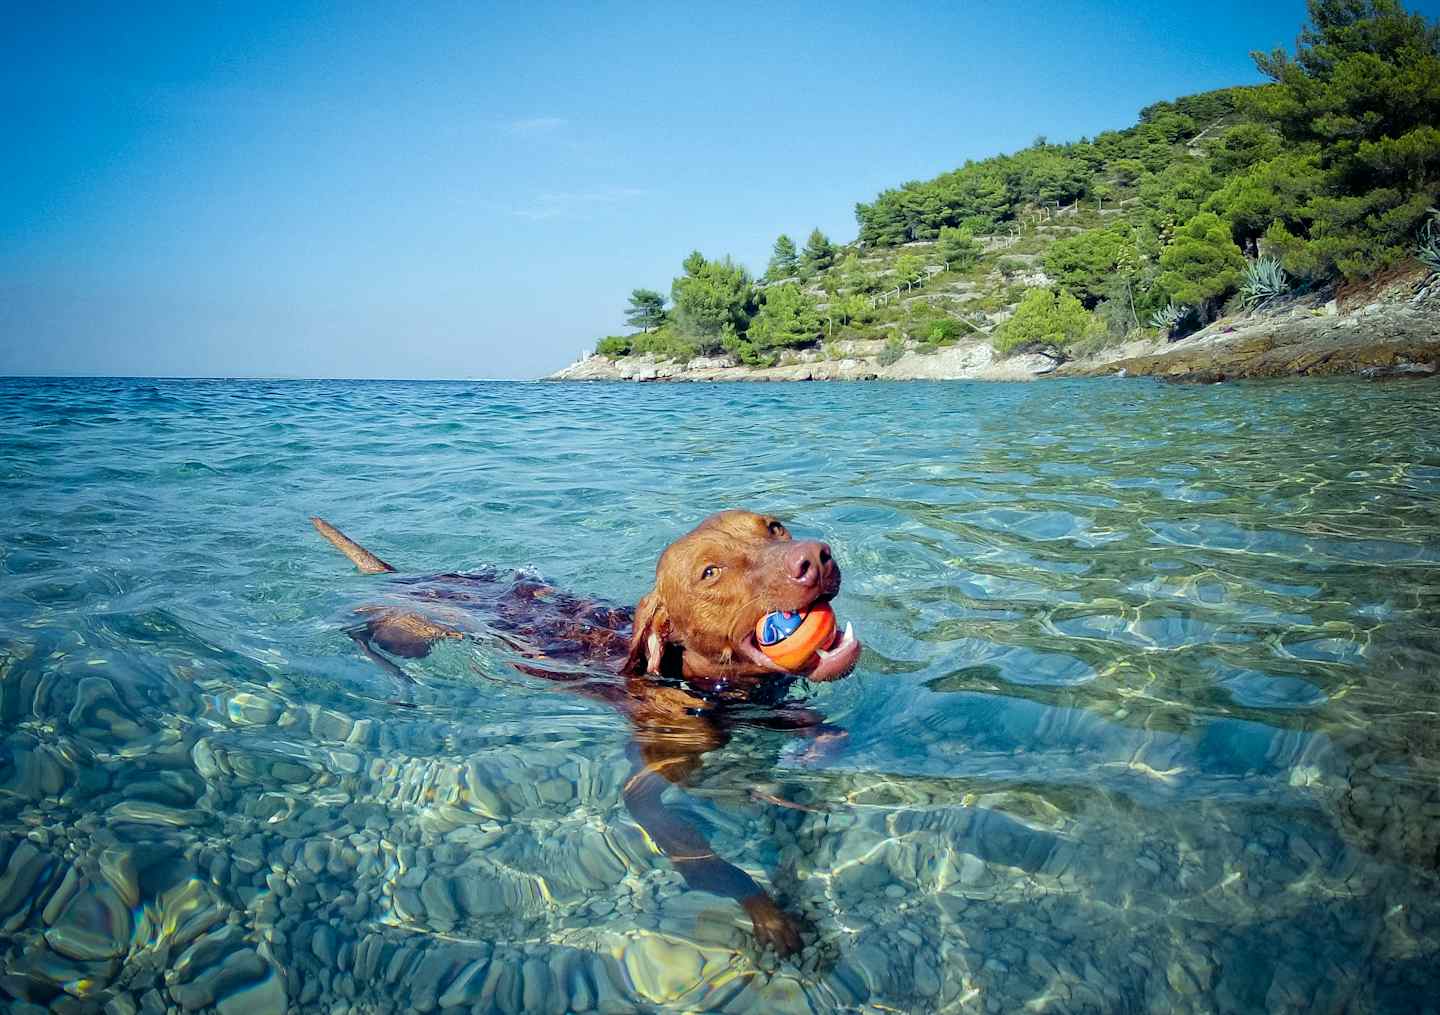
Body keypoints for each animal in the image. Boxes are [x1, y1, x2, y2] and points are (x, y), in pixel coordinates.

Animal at [309, 509, 858, 955]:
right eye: (710, 572)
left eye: (774, 527)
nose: (816, 558)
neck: (715, 687)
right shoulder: (645, 792)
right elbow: (713, 865)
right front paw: (767, 911)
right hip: (416, 634)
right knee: (367, 631)